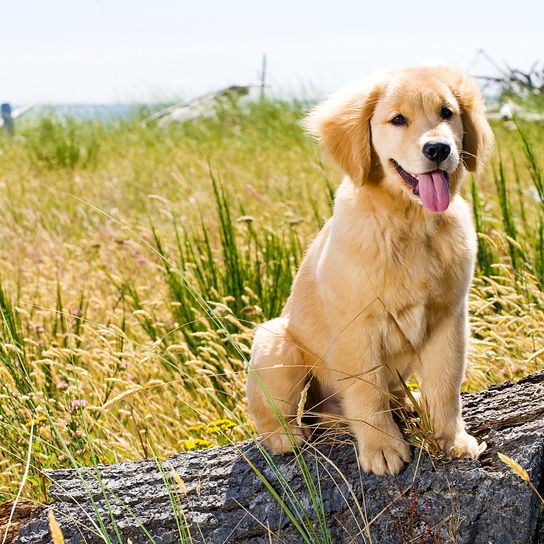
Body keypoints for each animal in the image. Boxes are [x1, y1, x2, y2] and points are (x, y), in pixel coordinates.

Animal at [246, 65, 492, 476]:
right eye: (398, 120)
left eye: (447, 113)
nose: (438, 149)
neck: (410, 223)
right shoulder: (357, 327)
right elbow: (365, 390)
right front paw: (382, 448)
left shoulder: (449, 319)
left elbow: (445, 386)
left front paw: (451, 440)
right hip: (277, 342)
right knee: (273, 411)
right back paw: (285, 437)